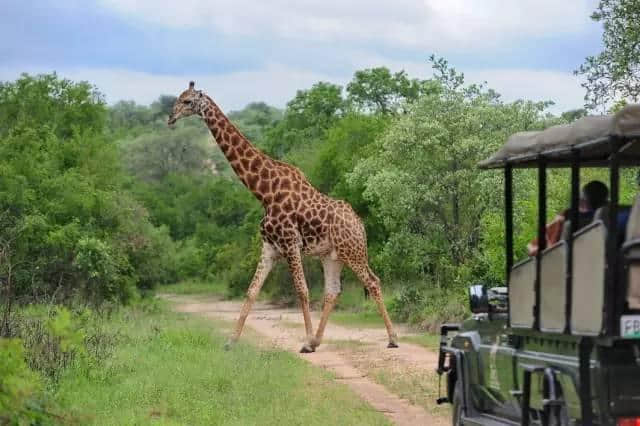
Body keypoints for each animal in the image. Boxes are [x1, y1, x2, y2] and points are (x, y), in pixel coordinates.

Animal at [168, 81, 398, 352]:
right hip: (332, 256)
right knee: (333, 290)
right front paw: (230, 342)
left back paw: (392, 338)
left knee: (373, 281)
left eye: (187, 101)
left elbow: (302, 290)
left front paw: (305, 341)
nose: (170, 117)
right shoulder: (269, 247)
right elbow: (252, 291)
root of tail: (360, 224)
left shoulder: (290, 243)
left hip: (353, 251)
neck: (264, 192)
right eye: (178, 98)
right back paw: (318, 340)